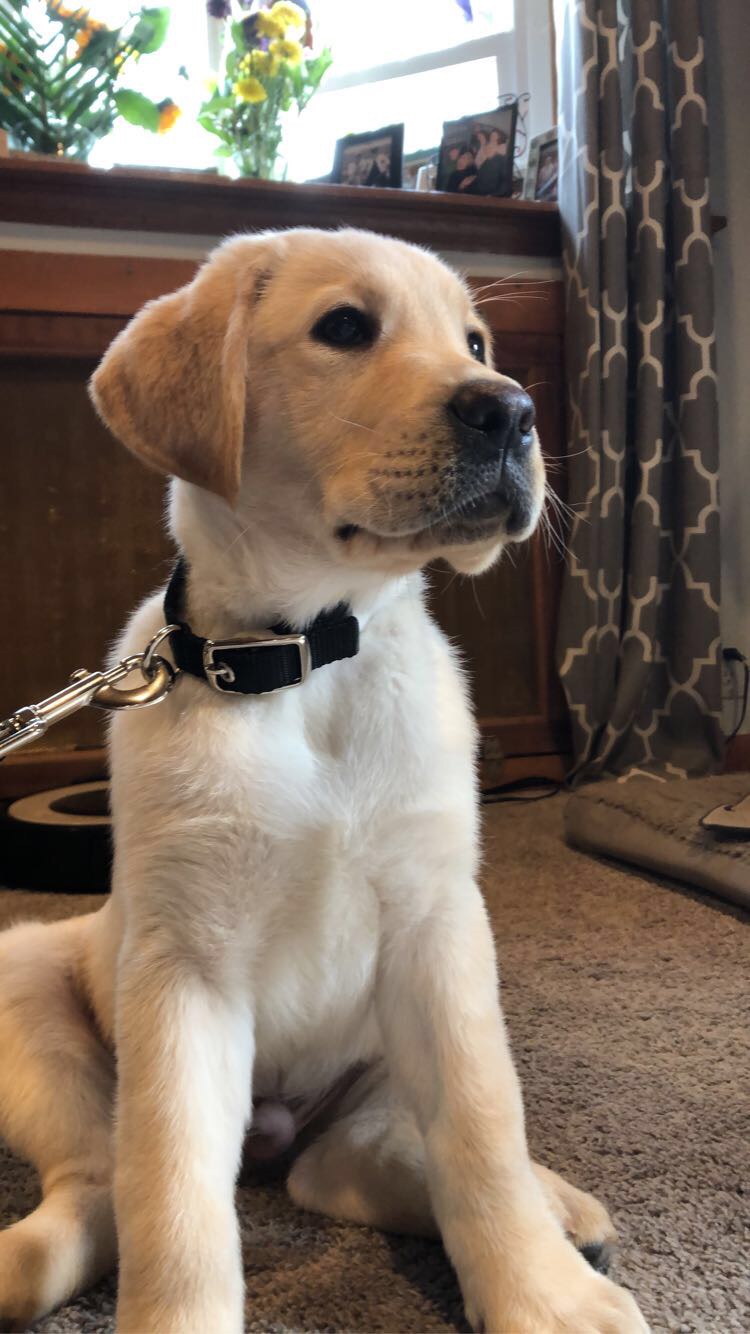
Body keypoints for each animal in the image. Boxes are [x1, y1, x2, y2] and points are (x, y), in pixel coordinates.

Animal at [0, 232, 645, 1334]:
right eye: (345, 327)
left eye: (475, 341)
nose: (513, 410)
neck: (304, 659)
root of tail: (279, 1137)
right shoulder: (184, 968)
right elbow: (170, 1193)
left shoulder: (439, 929)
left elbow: (484, 1131)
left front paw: (543, 1294)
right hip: (29, 985)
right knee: (103, 1182)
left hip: (379, 1072)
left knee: (367, 1164)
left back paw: (563, 1210)